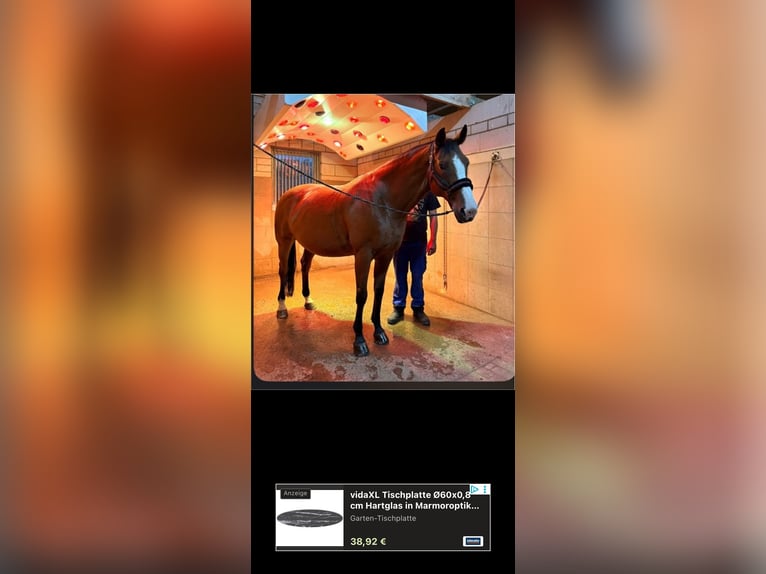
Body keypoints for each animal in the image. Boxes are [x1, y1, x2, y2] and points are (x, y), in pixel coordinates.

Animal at [273, 125, 477, 356]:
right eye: (442, 164)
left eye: (466, 163)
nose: (469, 210)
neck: (382, 202)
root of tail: (288, 195)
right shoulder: (363, 255)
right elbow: (362, 294)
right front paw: (359, 340)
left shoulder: (385, 255)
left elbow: (378, 292)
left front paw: (379, 332)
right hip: (284, 241)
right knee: (283, 271)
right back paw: (282, 309)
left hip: (311, 243)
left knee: (305, 265)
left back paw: (308, 301)